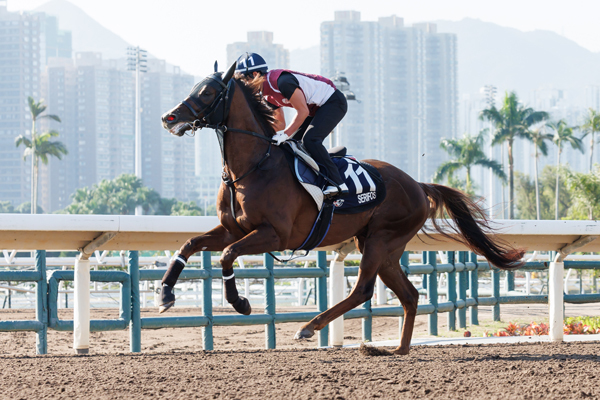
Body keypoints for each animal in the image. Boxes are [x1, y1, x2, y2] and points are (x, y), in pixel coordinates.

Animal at [157, 63, 524, 356]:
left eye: (207, 91)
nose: (168, 117)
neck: (253, 166)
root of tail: (419, 186)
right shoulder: (232, 229)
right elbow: (189, 245)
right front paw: (165, 295)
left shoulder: (274, 235)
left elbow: (227, 255)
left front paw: (240, 302)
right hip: (384, 247)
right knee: (409, 295)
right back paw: (398, 350)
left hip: (380, 239)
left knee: (363, 289)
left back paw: (310, 327)